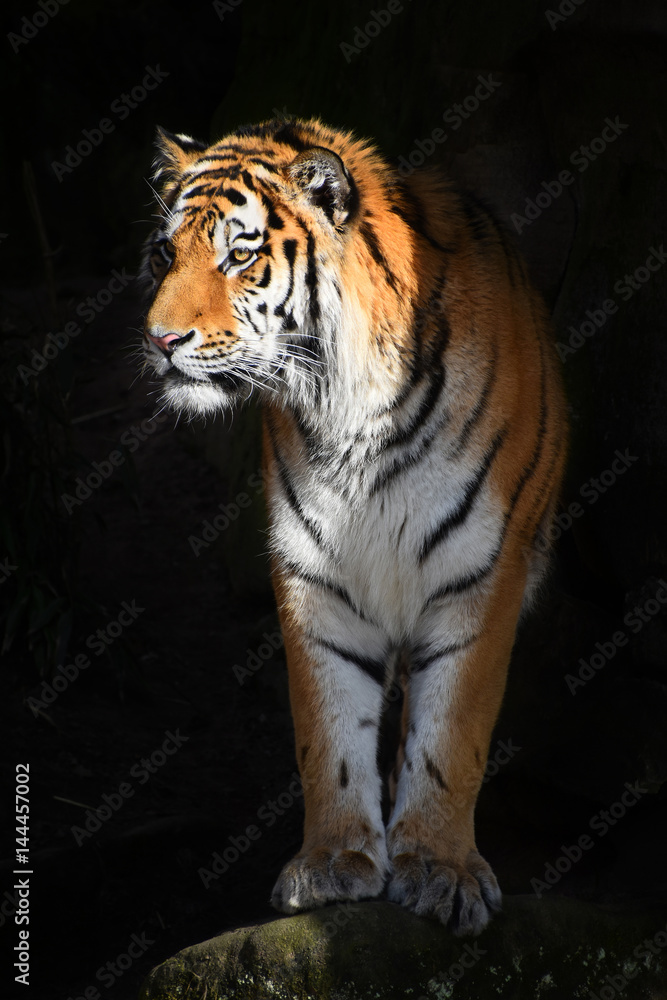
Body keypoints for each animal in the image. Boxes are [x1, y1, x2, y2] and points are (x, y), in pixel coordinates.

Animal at [141, 117, 568, 936]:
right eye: (162, 255)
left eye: (239, 255)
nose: (160, 342)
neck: (350, 407)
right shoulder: (314, 577)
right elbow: (329, 728)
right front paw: (334, 863)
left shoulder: (478, 572)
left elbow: (451, 736)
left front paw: (440, 870)